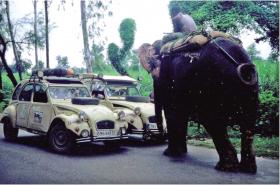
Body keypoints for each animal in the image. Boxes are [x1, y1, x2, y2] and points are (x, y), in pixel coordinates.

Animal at [139, 34, 260, 173]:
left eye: (154, 76)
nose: (150, 96)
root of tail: (239, 63)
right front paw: (180, 153)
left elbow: (173, 113)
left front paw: (169, 153)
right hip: (251, 90)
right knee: (248, 122)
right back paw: (248, 169)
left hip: (210, 85)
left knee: (211, 120)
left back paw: (225, 167)